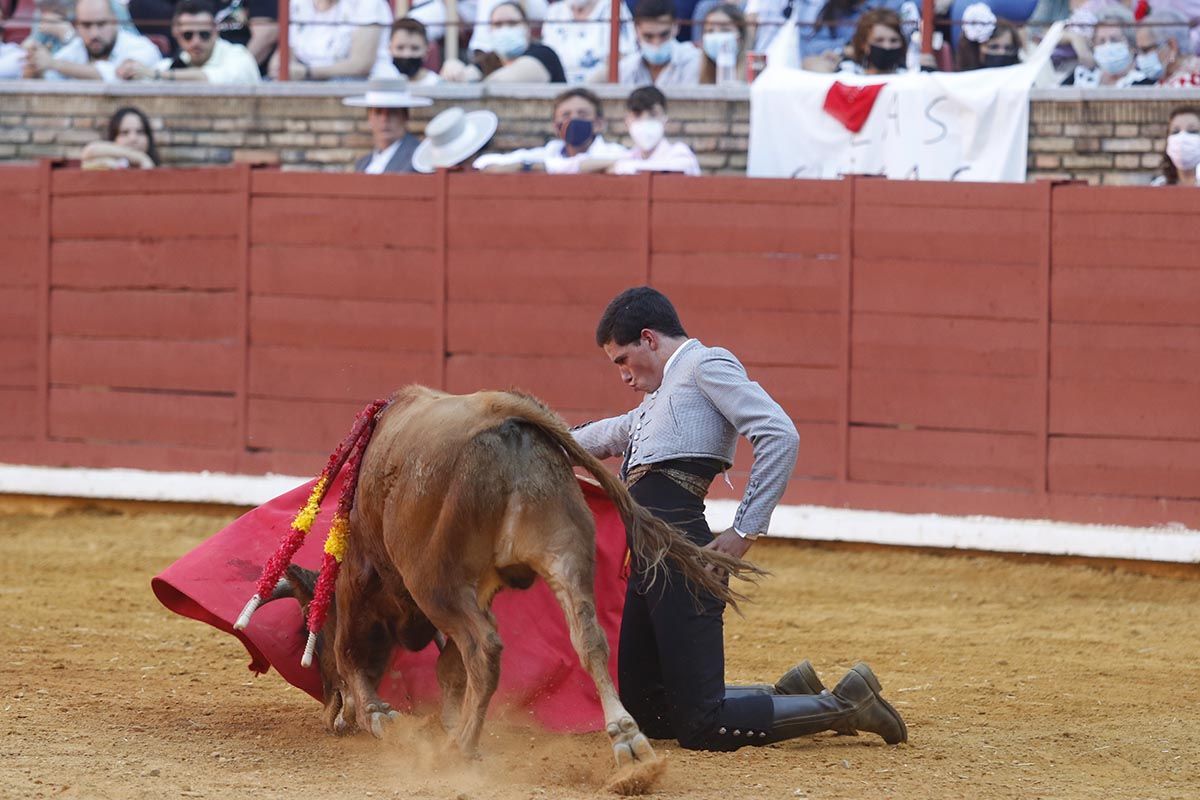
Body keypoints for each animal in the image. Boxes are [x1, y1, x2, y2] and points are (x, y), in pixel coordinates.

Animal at [272, 388, 758, 777]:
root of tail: (505, 413)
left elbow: (352, 652)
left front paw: (379, 715)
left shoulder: (360, 578)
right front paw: (444, 717)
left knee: (484, 648)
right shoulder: (483, 590)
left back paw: (461, 747)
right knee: (588, 640)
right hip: (563, 551)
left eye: (310, 622)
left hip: (436, 581)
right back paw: (628, 744)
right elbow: (449, 667)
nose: (332, 715)